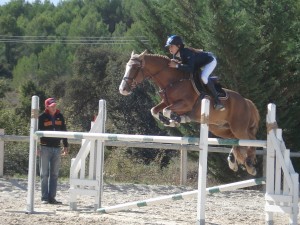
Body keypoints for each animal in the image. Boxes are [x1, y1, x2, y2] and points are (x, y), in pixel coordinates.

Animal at [118, 49, 258, 176]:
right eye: (126, 66)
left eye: (136, 67)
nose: (122, 89)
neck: (173, 80)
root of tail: (246, 101)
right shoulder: (166, 102)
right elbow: (154, 110)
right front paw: (169, 121)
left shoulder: (185, 104)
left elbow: (167, 110)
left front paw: (176, 120)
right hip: (221, 129)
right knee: (238, 141)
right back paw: (232, 161)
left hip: (238, 127)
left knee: (251, 139)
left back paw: (250, 164)